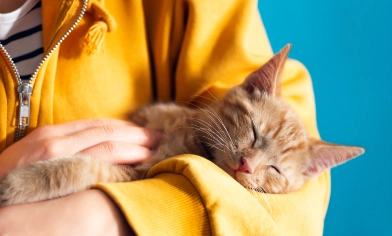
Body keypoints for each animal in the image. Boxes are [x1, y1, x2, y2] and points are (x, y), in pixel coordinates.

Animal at [0, 44, 364, 206]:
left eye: (275, 170)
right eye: (253, 130)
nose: (247, 165)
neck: (188, 133)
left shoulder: (137, 173)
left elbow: (81, 167)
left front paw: (19, 184)